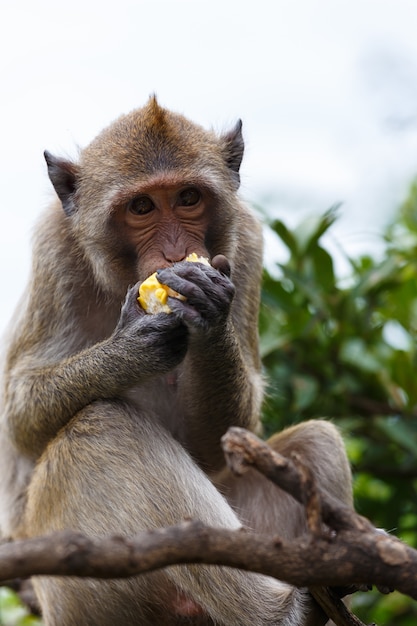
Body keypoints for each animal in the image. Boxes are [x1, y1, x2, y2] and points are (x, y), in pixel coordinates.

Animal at [0, 95, 352, 620]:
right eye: (142, 206)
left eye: (188, 198)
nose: (173, 252)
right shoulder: (53, 246)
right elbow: (20, 414)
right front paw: (129, 349)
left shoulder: (246, 240)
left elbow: (217, 440)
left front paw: (211, 317)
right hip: (77, 583)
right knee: (103, 427)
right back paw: (282, 609)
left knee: (316, 441)